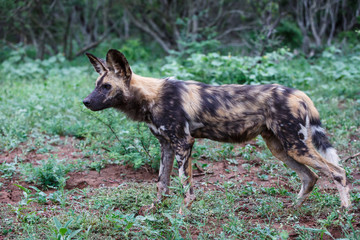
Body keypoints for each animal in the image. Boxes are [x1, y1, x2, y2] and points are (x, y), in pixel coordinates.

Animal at [83, 48, 348, 212]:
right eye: (96, 85)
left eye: (107, 87)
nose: (85, 101)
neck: (151, 97)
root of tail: (299, 93)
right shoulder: (166, 146)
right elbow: (161, 183)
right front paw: (156, 210)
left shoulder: (183, 144)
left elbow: (185, 184)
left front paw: (182, 213)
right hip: (281, 148)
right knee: (310, 176)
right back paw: (293, 209)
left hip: (296, 146)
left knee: (338, 171)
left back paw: (344, 213)